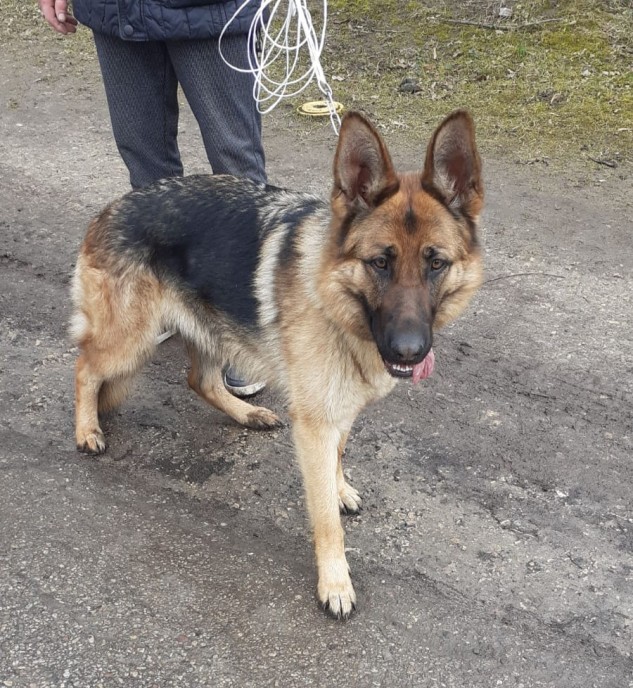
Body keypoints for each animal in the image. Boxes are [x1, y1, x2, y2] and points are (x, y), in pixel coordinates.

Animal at [71, 110, 484, 619]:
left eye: (436, 263)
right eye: (380, 262)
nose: (409, 352)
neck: (334, 295)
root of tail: (111, 209)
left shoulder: (335, 407)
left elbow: (338, 455)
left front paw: (338, 486)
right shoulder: (313, 421)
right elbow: (325, 518)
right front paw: (335, 582)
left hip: (213, 329)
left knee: (200, 380)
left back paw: (247, 413)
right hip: (132, 338)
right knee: (86, 367)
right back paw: (87, 429)